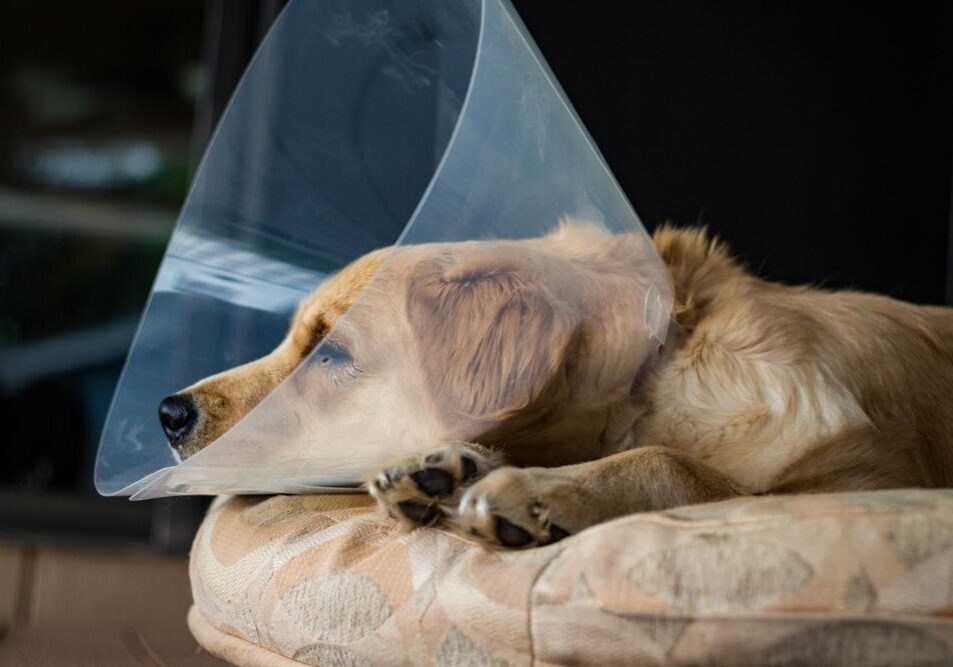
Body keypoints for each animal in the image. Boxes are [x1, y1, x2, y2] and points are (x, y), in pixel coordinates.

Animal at [156, 223, 952, 548]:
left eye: (329, 352)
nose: (167, 411)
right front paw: (445, 469)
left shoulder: (867, 478)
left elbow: (670, 459)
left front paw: (539, 490)